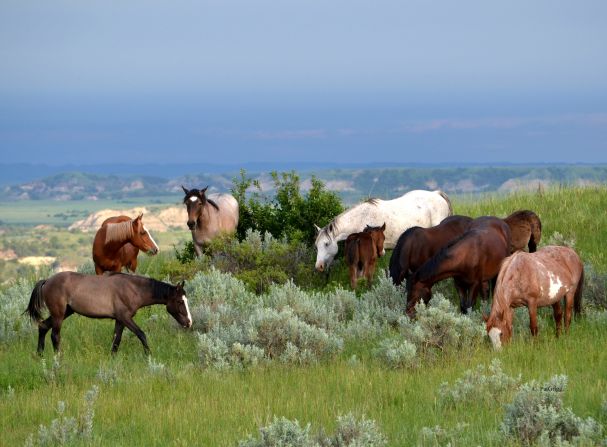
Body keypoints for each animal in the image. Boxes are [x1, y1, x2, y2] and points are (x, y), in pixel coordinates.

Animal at [25, 272, 192, 356]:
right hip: (59, 314)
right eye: (180, 302)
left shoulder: (120, 320)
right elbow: (141, 334)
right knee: (55, 335)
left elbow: (116, 339)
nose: (189, 322)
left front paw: (112, 357)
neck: (133, 288)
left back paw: (40, 355)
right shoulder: (126, 318)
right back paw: (58, 357)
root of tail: (47, 281)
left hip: (65, 312)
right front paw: (149, 355)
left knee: (43, 327)